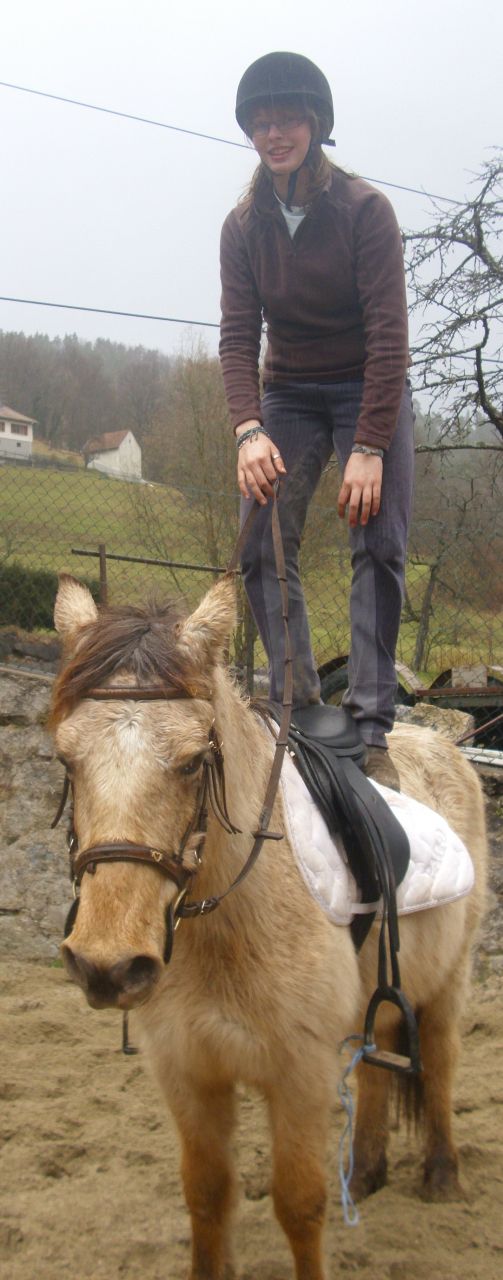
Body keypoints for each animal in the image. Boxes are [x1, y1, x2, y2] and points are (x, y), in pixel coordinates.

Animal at [50, 571, 487, 1280]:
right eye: (66, 760)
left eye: (193, 761)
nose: (107, 965)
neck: (225, 925)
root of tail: (439, 742)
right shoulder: (189, 1073)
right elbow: (206, 1197)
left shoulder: (300, 1075)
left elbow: (300, 1204)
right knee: (375, 1063)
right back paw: (366, 1173)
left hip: (450, 980)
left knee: (442, 1059)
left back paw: (442, 1176)